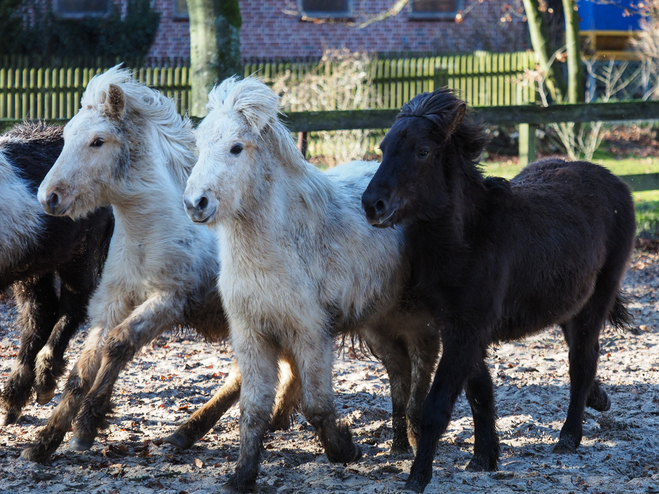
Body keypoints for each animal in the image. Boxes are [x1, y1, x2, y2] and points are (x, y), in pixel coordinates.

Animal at [0, 122, 113, 424]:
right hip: (34, 261)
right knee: (40, 311)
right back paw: (13, 405)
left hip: (81, 249)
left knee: (75, 302)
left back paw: (44, 385)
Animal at [183, 75, 440, 492]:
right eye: (200, 145)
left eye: (236, 148)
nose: (196, 204)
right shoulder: (253, 336)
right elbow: (252, 410)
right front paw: (242, 475)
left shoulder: (310, 334)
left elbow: (317, 407)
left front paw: (345, 450)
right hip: (378, 323)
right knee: (398, 371)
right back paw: (399, 444)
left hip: (414, 320)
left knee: (422, 365)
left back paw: (417, 439)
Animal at [364, 89, 636, 494]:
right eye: (383, 148)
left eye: (423, 151)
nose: (372, 205)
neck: (467, 240)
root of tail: (612, 179)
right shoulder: (458, 326)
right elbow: (480, 392)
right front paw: (483, 458)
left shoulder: (467, 329)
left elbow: (438, 405)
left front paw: (417, 477)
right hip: (568, 304)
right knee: (586, 360)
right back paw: (598, 400)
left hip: (596, 301)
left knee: (581, 362)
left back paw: (568, 437)